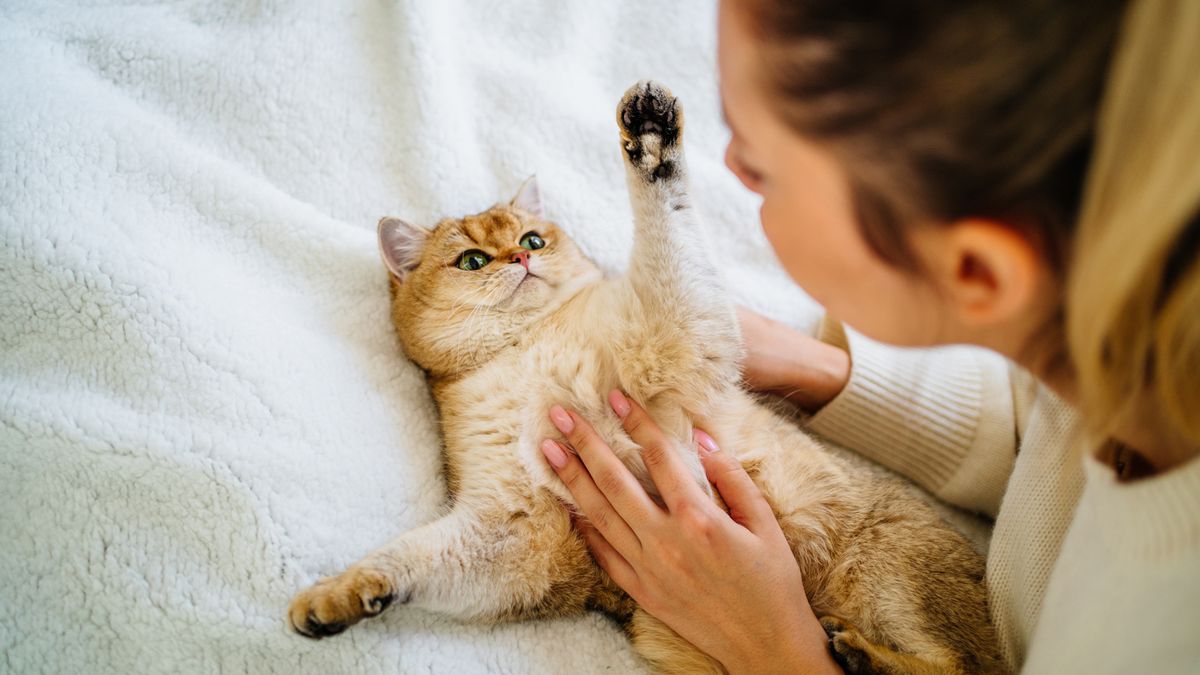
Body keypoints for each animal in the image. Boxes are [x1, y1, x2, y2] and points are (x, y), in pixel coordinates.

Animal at [288, 79, 1003, 672]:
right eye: (470, 260)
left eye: (534, 239)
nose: (520, 258)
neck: (526, 349)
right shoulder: (519, 532)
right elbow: (416, 558)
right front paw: (339, 596)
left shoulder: (676, 342)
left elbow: (667, 232)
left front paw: (653, 140)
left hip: (895, 573)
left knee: (963, 668)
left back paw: (861, 654)